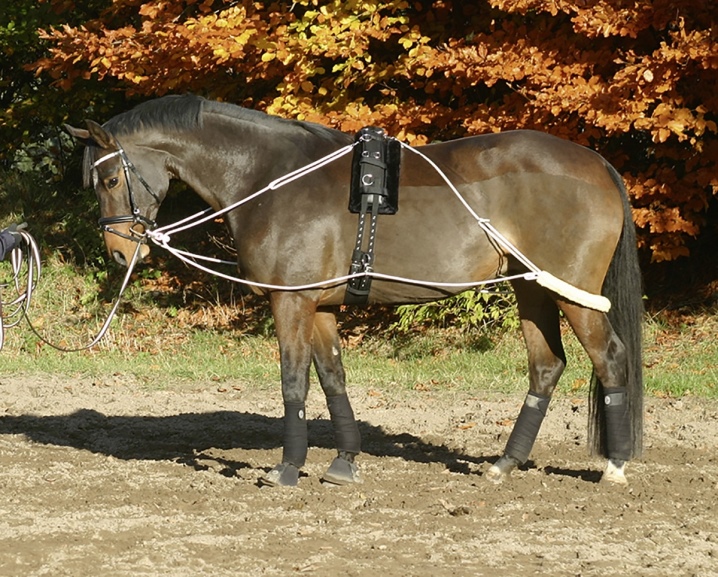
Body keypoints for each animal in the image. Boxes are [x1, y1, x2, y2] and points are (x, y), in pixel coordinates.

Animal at [64, 93, 644, 486]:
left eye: (110, 180)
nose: (119, 253)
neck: (271, 176)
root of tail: (597, 163)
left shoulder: (291, 301)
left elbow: (293, 382)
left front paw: (288, 467)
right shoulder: (320, 304)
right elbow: (332, 379)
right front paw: (344, 461)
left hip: (572, 293)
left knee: (611, 359)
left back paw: (614, 466)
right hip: (533, 290)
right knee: (547, 366)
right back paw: (505, 462)